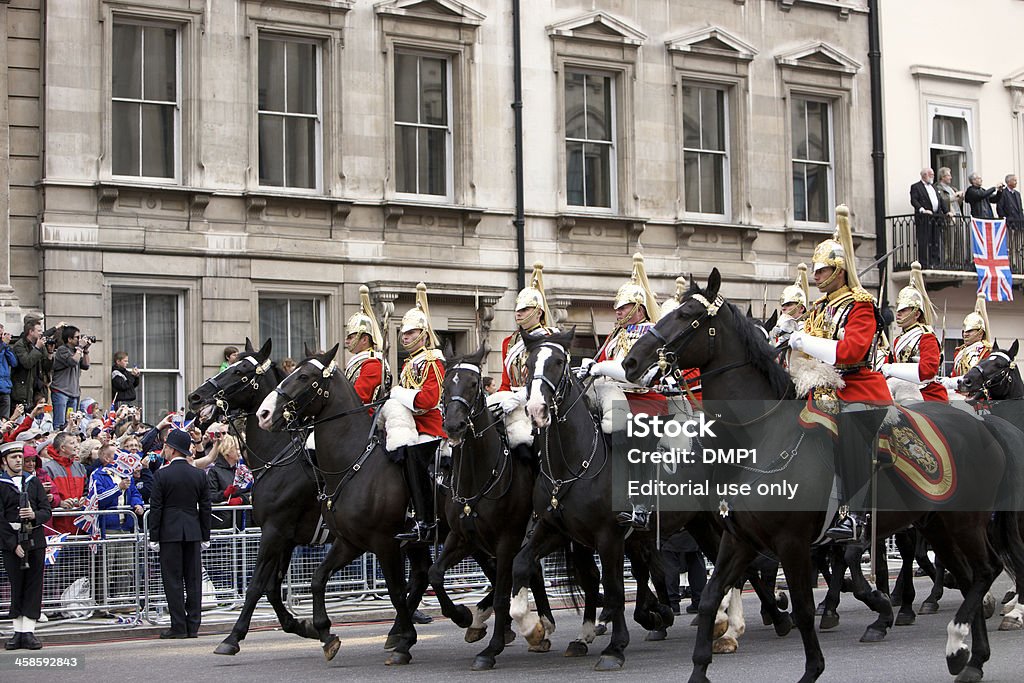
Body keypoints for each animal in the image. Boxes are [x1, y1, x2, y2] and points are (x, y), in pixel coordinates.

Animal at [622, 270, 1015, 679]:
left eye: (687, 317)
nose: (631, 363)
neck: (763, 433)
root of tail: (984, 428)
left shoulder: (792, 542)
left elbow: (804, 607)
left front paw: (812, 666)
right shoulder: (739, 539)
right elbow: (711, 597)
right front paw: (700, 667)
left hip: (963, 522)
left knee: (986, 570)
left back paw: (955, 641)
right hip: (937, 524)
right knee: (971, 576)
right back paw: (972, 658)